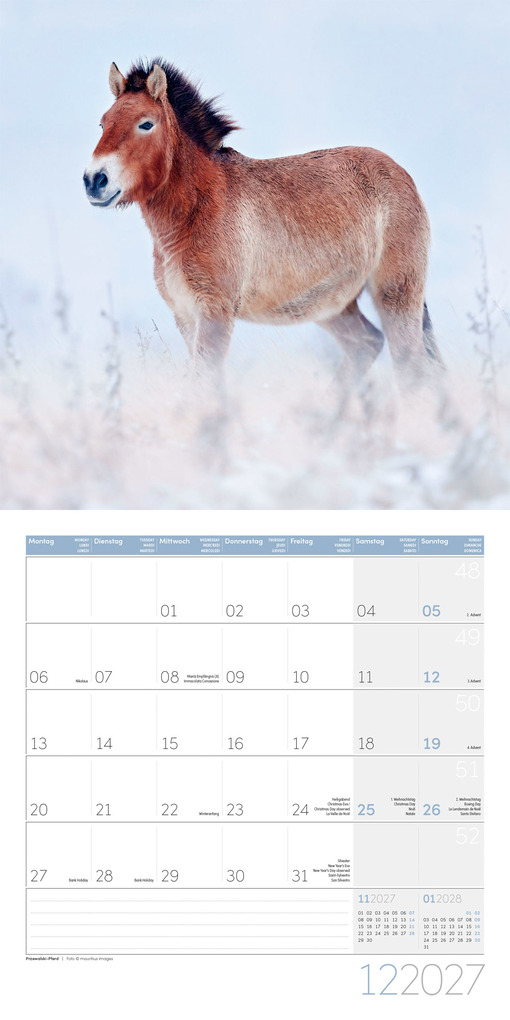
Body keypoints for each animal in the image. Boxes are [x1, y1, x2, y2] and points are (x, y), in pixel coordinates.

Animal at [84, 59, 443, 386]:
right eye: (103, 124)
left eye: (146, 124)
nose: (94, 180)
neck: (198, 210)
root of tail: (399, 173)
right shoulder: (185, 316)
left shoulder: (215, 313)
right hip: (333, 306)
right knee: (367, 345)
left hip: (395, 293)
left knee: (411, 365)